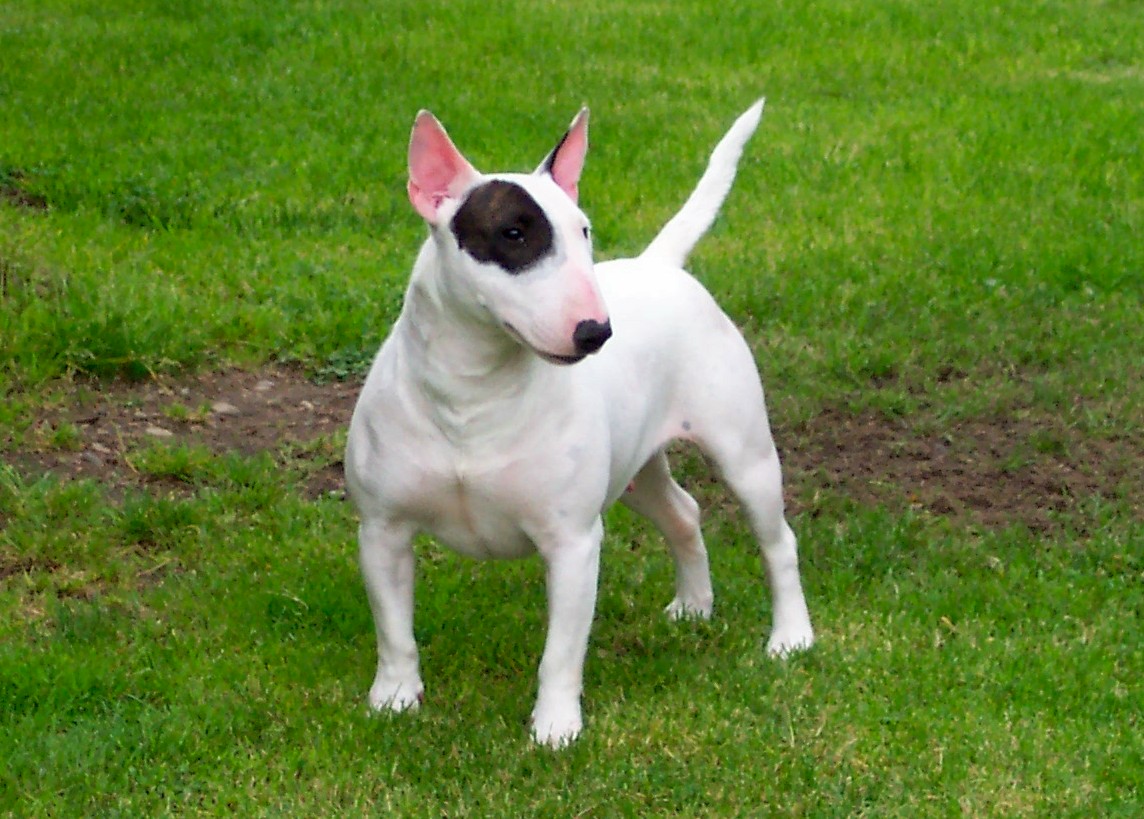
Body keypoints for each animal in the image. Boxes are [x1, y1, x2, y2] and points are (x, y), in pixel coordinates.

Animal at [343, 98, 819, 745]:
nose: (597, 332)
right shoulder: (382, 529)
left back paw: (791, 636)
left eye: (584, 231)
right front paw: (393, 700)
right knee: (683, 512)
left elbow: (561, 652)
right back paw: (694, 606)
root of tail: (658, 265)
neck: (471, 393)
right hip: (635, 470)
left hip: (744, 455)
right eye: (514, 233)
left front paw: (555, 730)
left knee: (777, 541)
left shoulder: (571, 542)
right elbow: (394, 631)